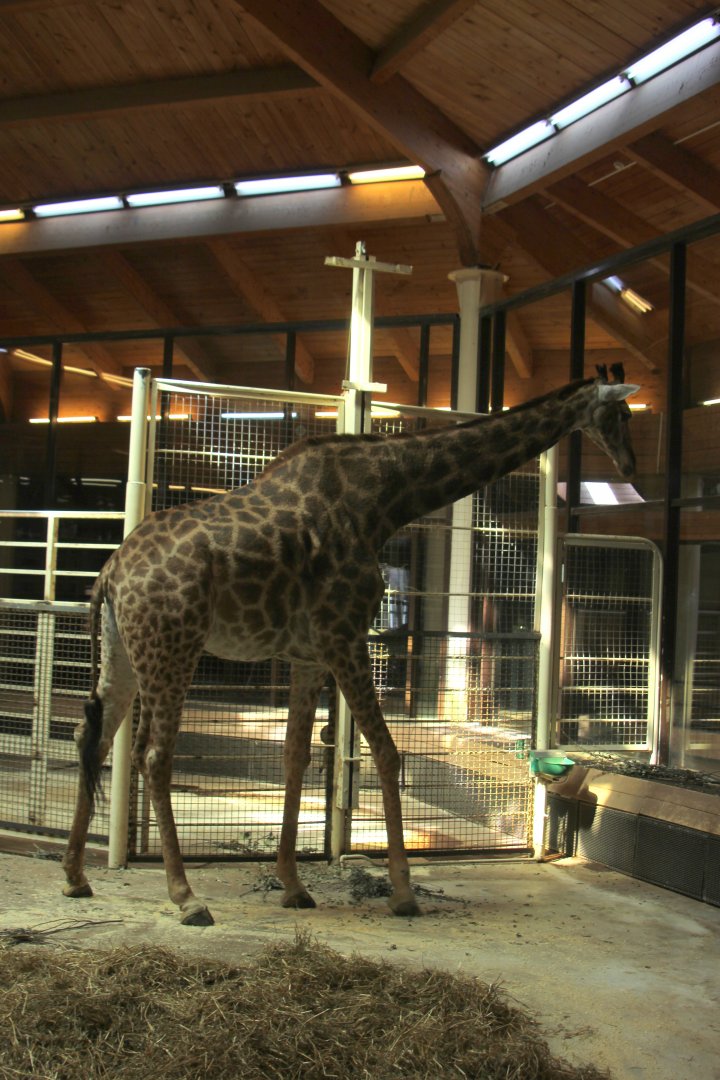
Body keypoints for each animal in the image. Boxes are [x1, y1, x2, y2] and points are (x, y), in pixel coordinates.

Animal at [62, 364, 639, 925]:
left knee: (91, 735)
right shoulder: (346, 636)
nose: (630, 467)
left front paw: (293, 885)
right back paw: (186, 897)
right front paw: (403, 892)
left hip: (125, 653)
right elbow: (384, 752)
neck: (381, 500)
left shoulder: (308, 655)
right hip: (174, 646)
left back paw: (76, 876)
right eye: (619, 413)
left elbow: (295, 755)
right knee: (154, 754)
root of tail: (112, 572)